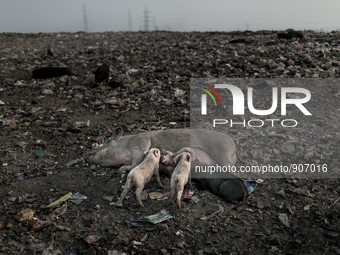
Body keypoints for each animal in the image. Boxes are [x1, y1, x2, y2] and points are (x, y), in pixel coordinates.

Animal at [86, 128, 247, 204]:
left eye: (106, 142)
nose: (87, 156)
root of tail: (235, 148)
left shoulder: (140, 145)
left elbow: (134, 163)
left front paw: (121, 170)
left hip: (223, 154)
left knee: (238, 175)